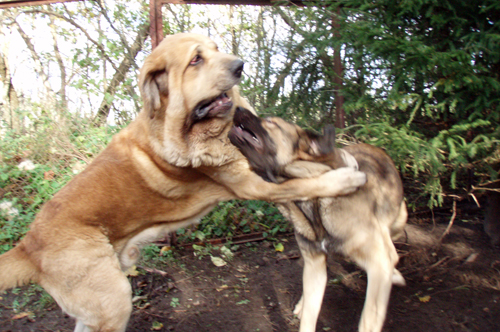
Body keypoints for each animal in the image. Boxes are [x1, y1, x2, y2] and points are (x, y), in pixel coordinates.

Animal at [0, 33, 368, 332]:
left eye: (216, 49)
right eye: (195, 60)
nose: (240, 65)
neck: (204, 131)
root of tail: (27, 246)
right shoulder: (253, 184)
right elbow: (304, 184)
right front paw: (344, 178)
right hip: (115, 300)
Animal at [229, 108, 408, 332]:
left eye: (270, 122)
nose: (236, 108)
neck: (314, 202)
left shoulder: (378, 262)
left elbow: (368, 320)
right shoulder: (314, 263)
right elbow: (309, 315)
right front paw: (304, 308)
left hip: (398, 222)